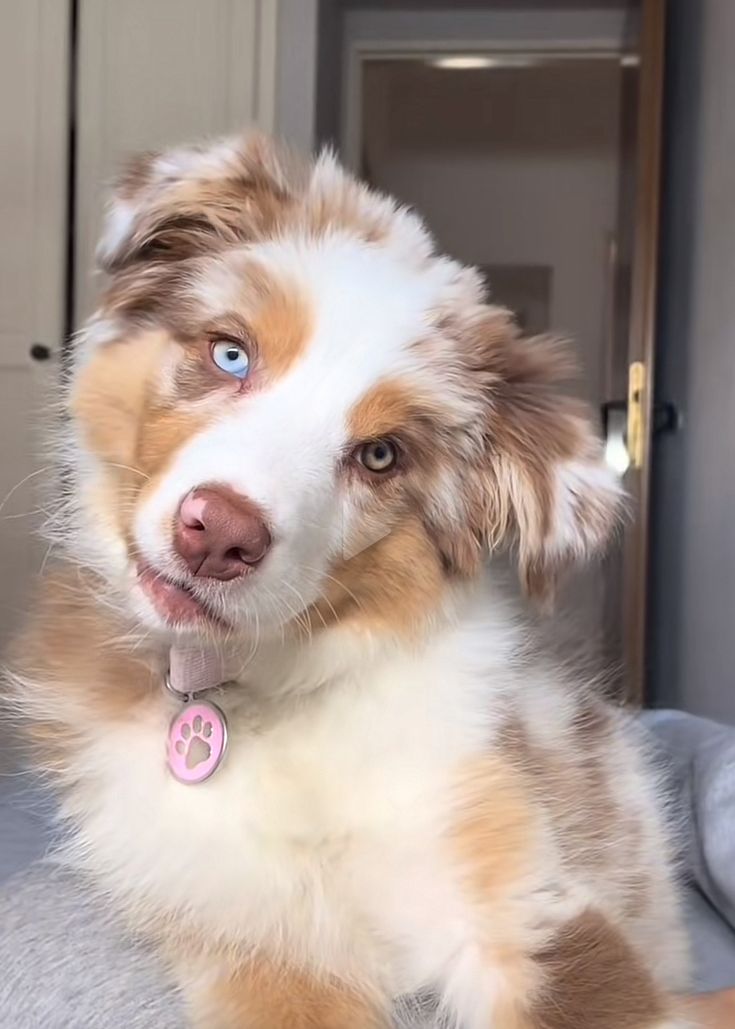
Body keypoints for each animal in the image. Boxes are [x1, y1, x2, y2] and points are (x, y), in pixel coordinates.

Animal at [8, 136, 691, 1029]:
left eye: (380, 455)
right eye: (231, 354)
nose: (218, 533)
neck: (262, 692)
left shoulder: (526, 899)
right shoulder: (252, 939)